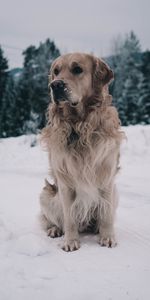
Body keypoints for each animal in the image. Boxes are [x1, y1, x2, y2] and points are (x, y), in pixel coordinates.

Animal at [39, 52, 123, 252]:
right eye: (56, 71)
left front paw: (107, 237)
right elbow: (69, 218)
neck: (80, 125)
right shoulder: (65, 182)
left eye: (77, 69)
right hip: (46, 195)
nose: (55, 85)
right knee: (50, 220)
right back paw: (55, 230)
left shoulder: (107, 178)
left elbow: (107, 214)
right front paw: (70, 241)